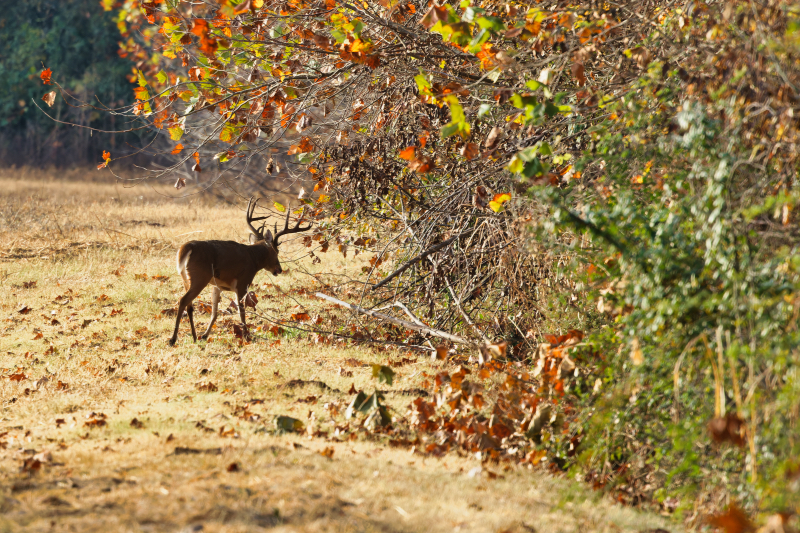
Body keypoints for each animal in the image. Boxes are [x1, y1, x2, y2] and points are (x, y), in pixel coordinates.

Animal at [167, 198, 310, 344]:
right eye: (277, 251)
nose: (279, 269)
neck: (253, 258)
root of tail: (186, 247)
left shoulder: (217, 286)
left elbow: (214, 312)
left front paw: (205, 335)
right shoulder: (242, 283)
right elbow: (241, 311)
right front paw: (247, 335)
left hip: (186, 278)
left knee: (189, 305)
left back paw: (195, 337)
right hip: (200, 277)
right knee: (183, 300)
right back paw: (173, 339)